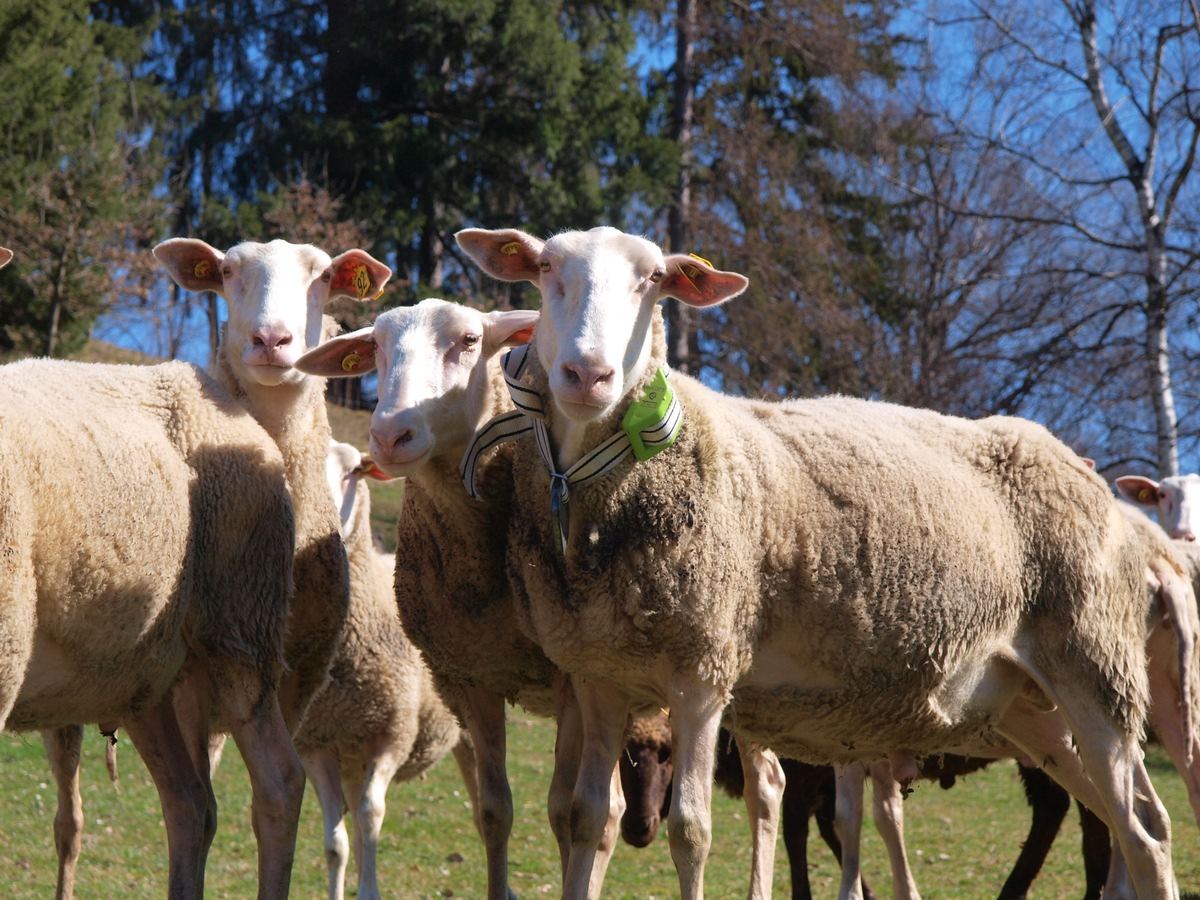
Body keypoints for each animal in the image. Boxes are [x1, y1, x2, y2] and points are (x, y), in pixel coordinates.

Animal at [297, 441, 480, 900]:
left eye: (354, 472)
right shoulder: (315, 745)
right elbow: (336, 842)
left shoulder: (394, 735)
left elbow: (370, 816)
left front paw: (369, 891)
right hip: (351, 755)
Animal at [453, 226, 1176, 900]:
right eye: (547, 268)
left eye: (654, 280)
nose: (588, 375)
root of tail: (1077, 463)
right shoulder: (600, 677)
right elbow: (587, 821)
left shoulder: (703, 671)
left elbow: (691, 832)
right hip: (1030, 705)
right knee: (1134, 822)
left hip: (1093, 665)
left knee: (1143, 830)